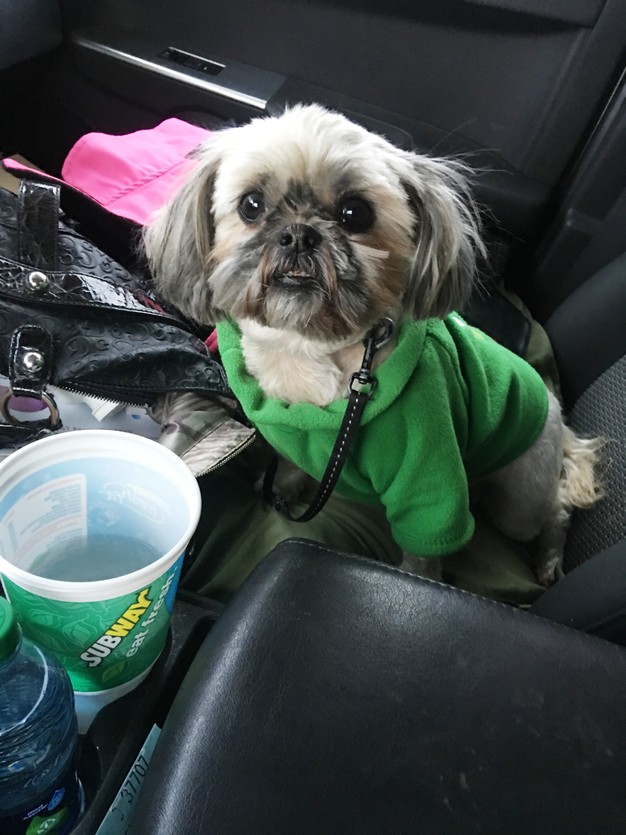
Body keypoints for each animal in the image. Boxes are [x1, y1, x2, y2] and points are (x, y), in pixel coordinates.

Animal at [143, 103, 602, 586]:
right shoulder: (299, 442)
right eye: (251, 204)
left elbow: (423, 553)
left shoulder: (429, 482)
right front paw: (284, 489)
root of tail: (559, 415)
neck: (307, 349)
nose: (299, 233)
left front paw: (420, 582)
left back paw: (549, 560)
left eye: (355, 212)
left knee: (557, 512)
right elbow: (290, 467)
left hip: (520, 498)